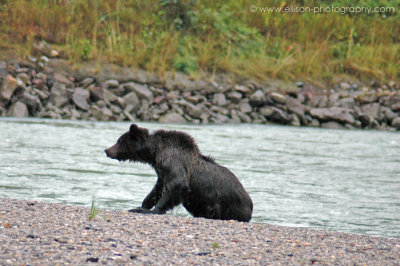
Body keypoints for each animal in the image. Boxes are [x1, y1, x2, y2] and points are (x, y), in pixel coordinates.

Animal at [104, 123, 252, 221]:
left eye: (118, 140)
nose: (107, 150)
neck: (155, 153)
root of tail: (250, 204)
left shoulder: (174, 162)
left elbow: (177, 184)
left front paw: (151, 210)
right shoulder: (161, 172)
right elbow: (158, 188)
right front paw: (142, 205)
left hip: (228, 205)